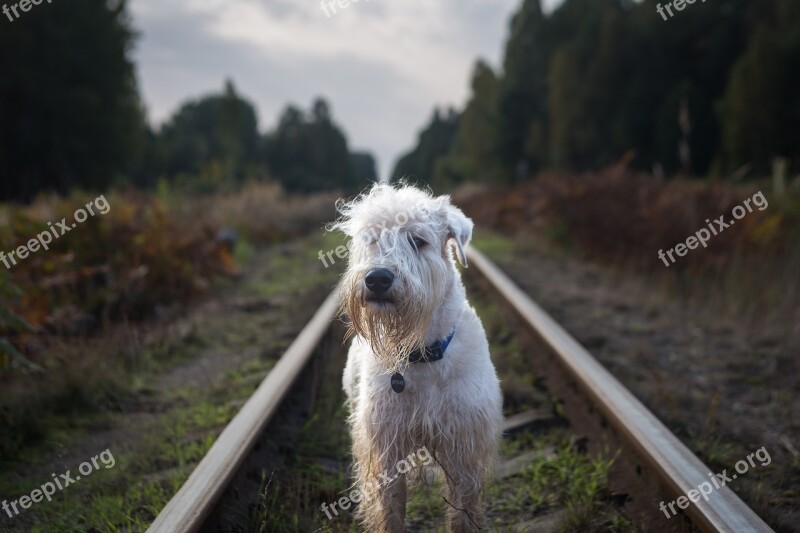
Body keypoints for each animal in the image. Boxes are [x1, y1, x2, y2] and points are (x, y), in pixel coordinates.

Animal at [330, 184, 504, 532]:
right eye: (372, 239)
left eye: (418, 240)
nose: (378, 278)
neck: (420, 354)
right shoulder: (385, 447)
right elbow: (390, 510)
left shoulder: (465, 448)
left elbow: (464, 513)